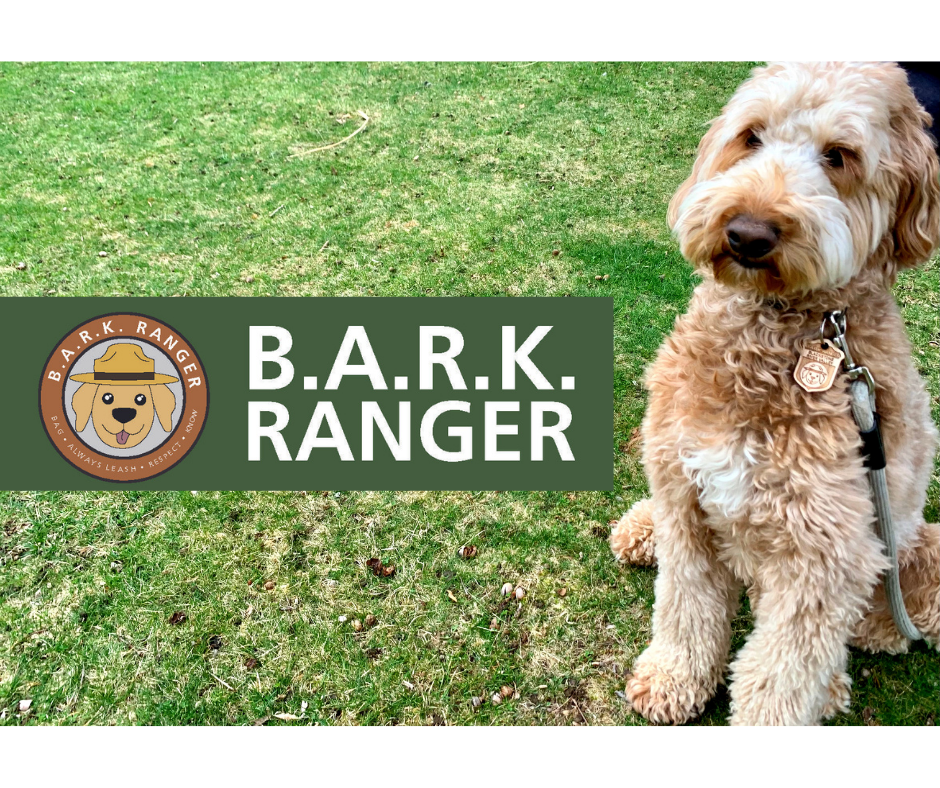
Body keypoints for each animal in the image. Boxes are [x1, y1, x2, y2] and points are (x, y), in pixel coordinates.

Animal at [608, 61, 940, 728]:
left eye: (839, 156)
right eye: (751, 136)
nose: (748, 233)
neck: (770, 334)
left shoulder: (824, 556)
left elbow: (781, 672)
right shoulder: (687, 500)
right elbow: (685, 604)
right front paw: (673, 676)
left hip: (907, 554)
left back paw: (836, 683)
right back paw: (641, 528)